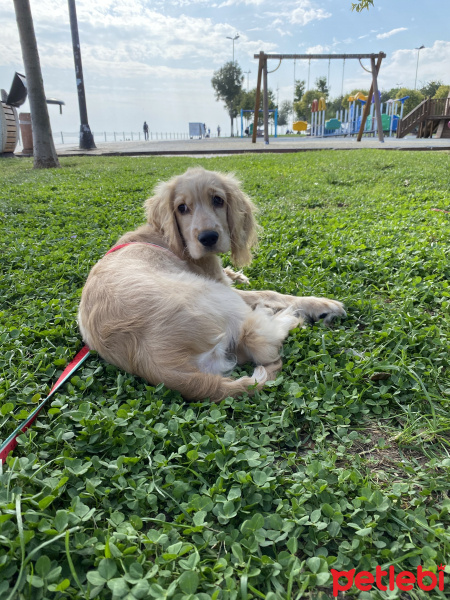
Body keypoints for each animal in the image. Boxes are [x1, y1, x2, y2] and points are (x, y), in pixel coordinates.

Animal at [78, 166, 344, 400]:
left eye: (218, 200)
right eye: (182, 208)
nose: (208, 238)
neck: (166, 237)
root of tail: (160, 365)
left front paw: (237, 273)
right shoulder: (219, 282)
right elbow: (272, 293)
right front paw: (322, 304)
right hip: (216, 297)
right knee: (258, 340)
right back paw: (286, 318)